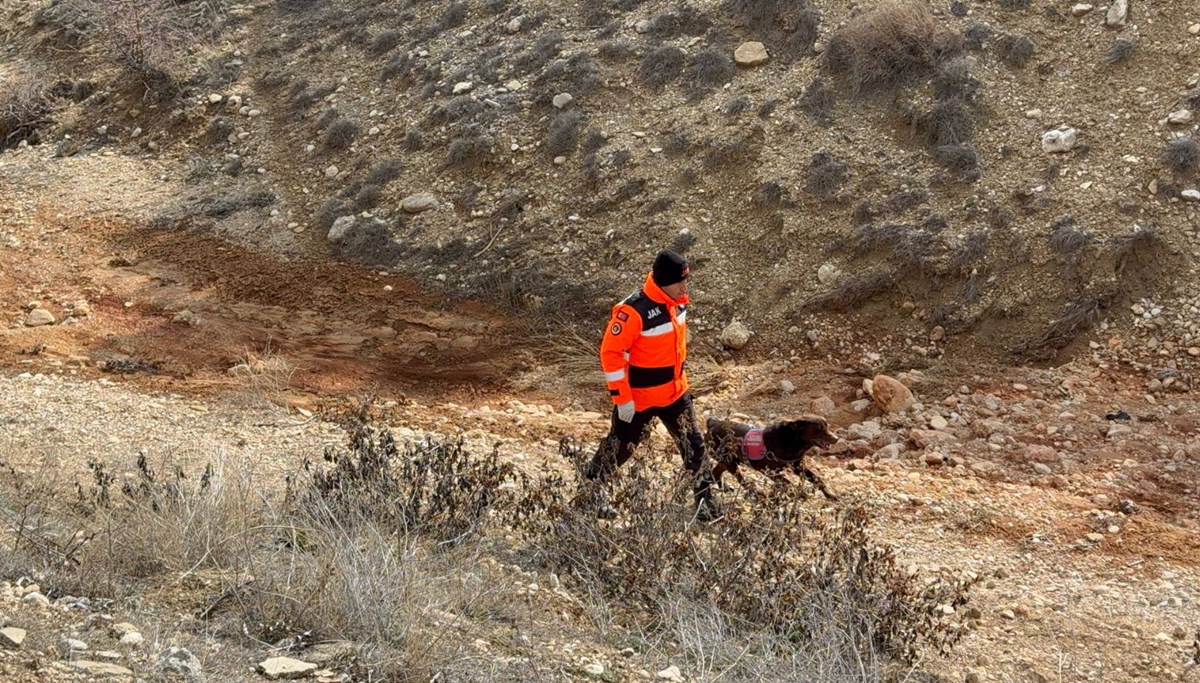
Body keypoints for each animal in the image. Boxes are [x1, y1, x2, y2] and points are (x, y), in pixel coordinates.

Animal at [705, 412, 840, 496]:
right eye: (819, 429)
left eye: (827, 426)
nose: (836, 438)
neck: (790, 440)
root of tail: (712, 423)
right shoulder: (768, 471)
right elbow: (787, 482)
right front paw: (797, 493)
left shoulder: (798, 466)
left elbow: (818, 479)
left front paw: (830, 495)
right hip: (729, 461)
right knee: (741, 480)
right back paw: (756, 493)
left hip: (729, 461)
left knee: (715, 473)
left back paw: (724, 488)